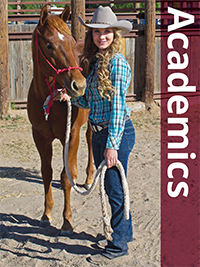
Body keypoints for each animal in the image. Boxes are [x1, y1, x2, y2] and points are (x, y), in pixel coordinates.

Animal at [26, 4, 94, 234]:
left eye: (72, 43)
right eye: (49, 45)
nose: (79, 85)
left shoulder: (70, 136)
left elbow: (66, 177)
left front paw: (66, 221)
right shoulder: (39, 137)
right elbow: (47, 173)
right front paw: (46, 214)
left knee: (91, 139)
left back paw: (89, 177)